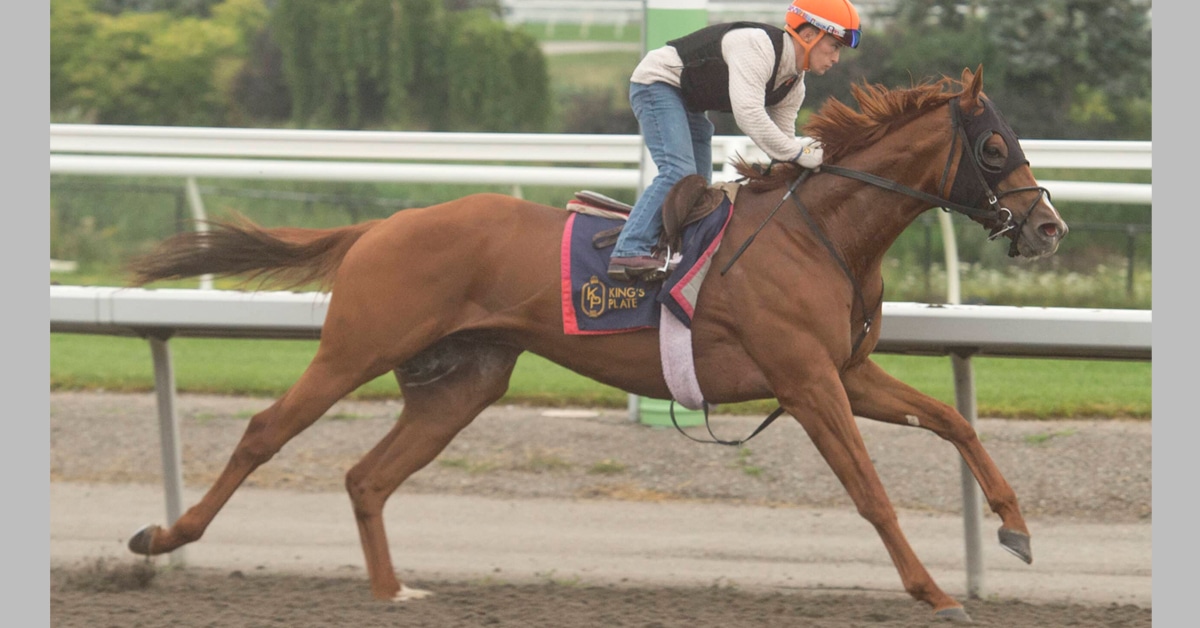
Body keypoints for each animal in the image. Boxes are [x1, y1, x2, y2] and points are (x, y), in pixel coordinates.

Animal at [123, 66, 1066, 621]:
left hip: (464, 382)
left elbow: (954, 420)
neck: (819, 232)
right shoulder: (805, 382)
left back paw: (394, 589)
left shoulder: (846, 372)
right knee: (266, 433)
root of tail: (382, 225)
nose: (1050, 227)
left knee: (368, 476)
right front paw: (934, 590)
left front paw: (1016, 528)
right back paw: (162, 540)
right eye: (994, 146)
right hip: (356, 347)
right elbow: (871, 491)